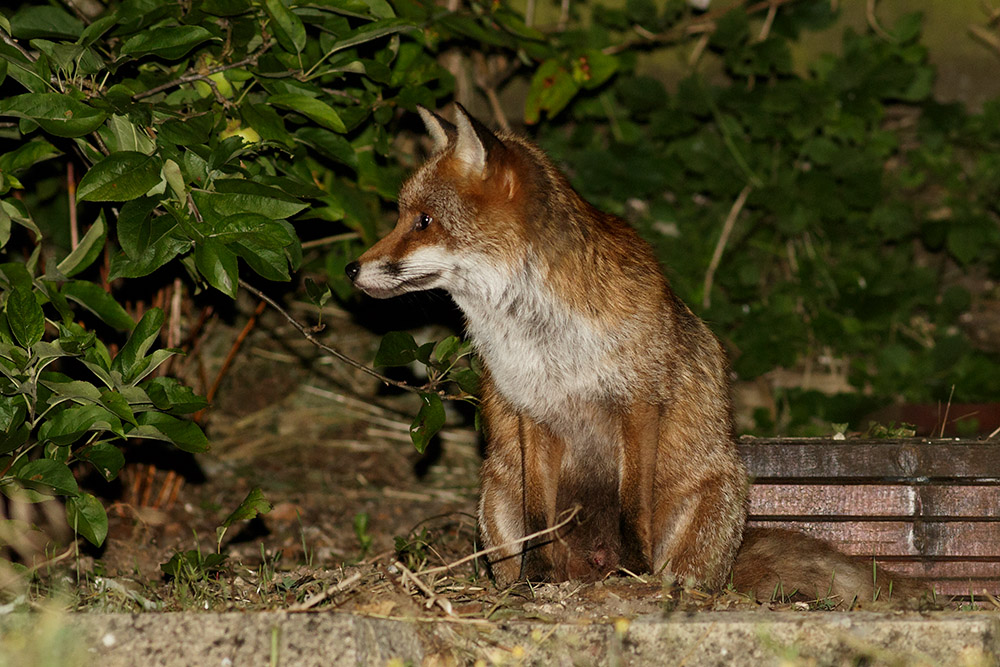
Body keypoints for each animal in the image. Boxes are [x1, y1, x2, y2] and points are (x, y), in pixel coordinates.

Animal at [346, 105, 916, 602]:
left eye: (423, 221)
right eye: (401, 216)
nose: (351, 269)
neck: (546, 339)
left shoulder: (639, 403)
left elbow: (631, 507)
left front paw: (634, 570)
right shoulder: (531, 411)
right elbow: (539, 521)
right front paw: (537, 578)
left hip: (716, 493)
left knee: (689, 567)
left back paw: (662, 582)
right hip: (495, 490)